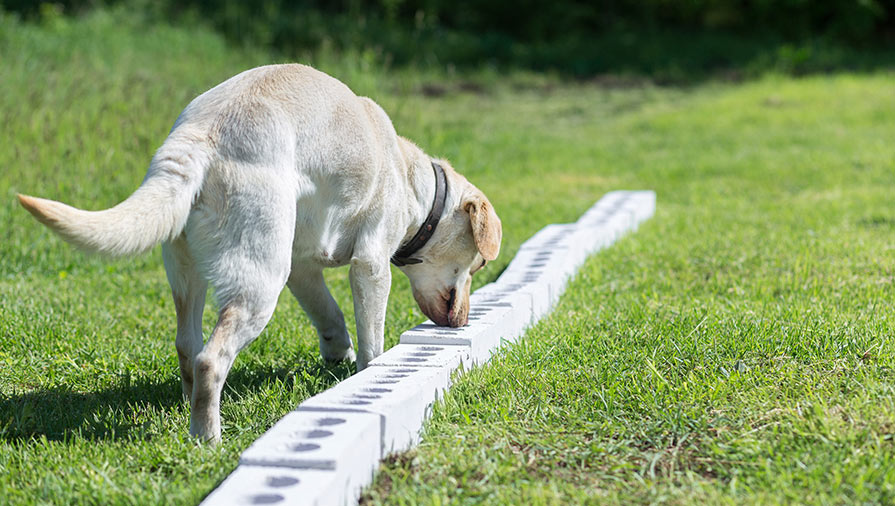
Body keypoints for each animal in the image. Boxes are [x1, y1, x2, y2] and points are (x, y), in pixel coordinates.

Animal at [17, 63, 500, 442]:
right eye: (478, 263)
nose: (462, 323)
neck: (416, 184)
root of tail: (197, 137)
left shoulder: (301, 269)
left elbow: (329, 315)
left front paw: (337, 358)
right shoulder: (371, 264)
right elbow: (372, 337)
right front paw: (367, 370)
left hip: (190, 273)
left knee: (187, 345)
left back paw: (189, 411)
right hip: (260, 284)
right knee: (211, 359)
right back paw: (207, 438)